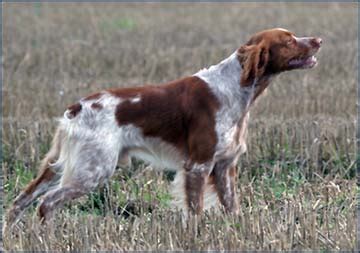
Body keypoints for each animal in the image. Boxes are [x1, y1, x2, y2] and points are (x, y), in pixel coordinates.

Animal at [4, 28, 322, 231]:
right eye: (289, 40)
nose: (319, 39)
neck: (234, 88)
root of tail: (75, 109)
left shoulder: (224, 167)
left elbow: (232, 207)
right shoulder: (198, 165)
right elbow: (194, 211)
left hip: (61, 166)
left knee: (22, 199)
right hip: (92, 170)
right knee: (46, 203)